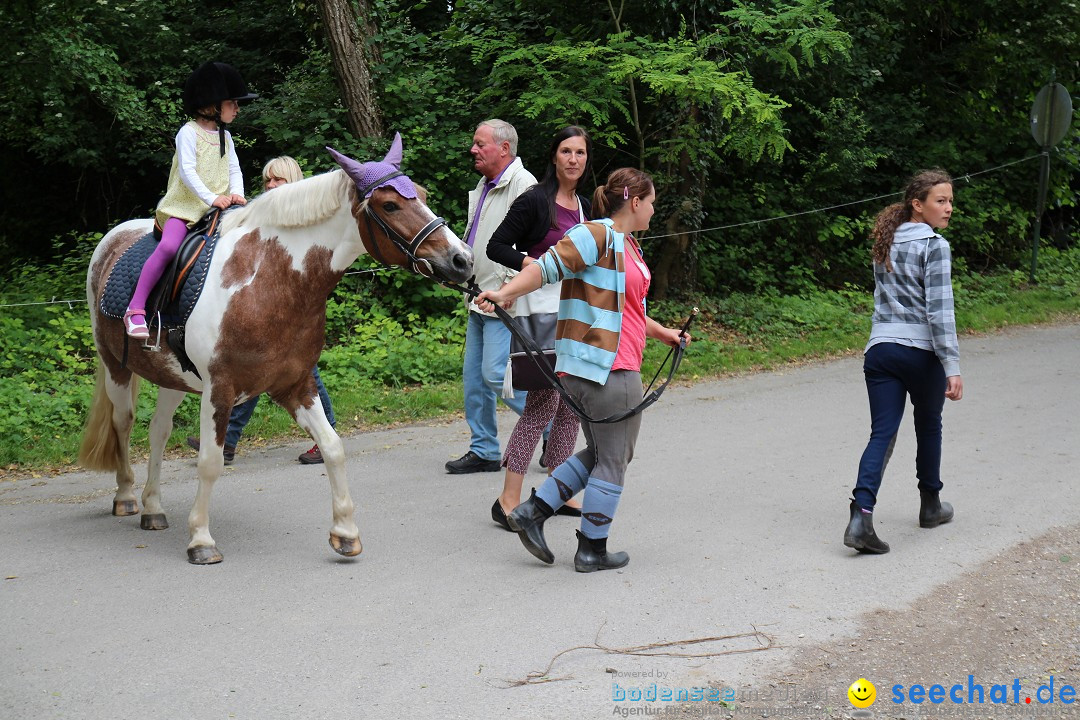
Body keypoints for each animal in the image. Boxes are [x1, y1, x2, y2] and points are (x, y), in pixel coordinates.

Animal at [78, 133, 475, 561]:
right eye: (390, 205)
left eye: (422, 194)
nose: (463, 259)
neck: (269, 279)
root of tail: (113, 239)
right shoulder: (220, 389)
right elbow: (210, 462)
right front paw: (201, 538)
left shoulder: (296, 386)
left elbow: (333, 446)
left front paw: (345, 532)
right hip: (116, 366)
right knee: (123, 423)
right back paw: (127, 496)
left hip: (173, 376)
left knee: (158, 431)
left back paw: (153, 507)